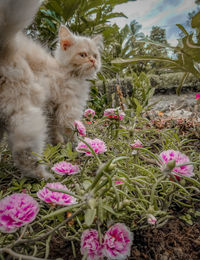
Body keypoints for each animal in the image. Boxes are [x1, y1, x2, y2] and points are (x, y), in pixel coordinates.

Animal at [0, 0, 102, 179]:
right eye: (83, 55)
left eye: (95, 56)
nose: (93, 61)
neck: (65, 71)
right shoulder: (68, 110)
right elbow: (71, 132)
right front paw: (81, 147)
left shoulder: (53, 112)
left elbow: (55, 133)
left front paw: (59, 146)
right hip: (26, 115)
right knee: (24, 155)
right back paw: (43, 176)